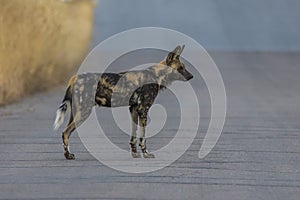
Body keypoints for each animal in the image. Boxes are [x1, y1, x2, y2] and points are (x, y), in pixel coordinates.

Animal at [53, 45, 195, 159]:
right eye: (180, 68)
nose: (191, 76)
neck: (156, 76)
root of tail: (74, 77)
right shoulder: (143, 110)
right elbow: (143, 137)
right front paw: (146, 154)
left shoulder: (133, 109)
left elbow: (133, 136)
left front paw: (135, 154)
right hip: (84, 112)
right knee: (66, 132)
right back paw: (68, 156)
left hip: (75, 113)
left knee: (65, 132)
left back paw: (68, 154)